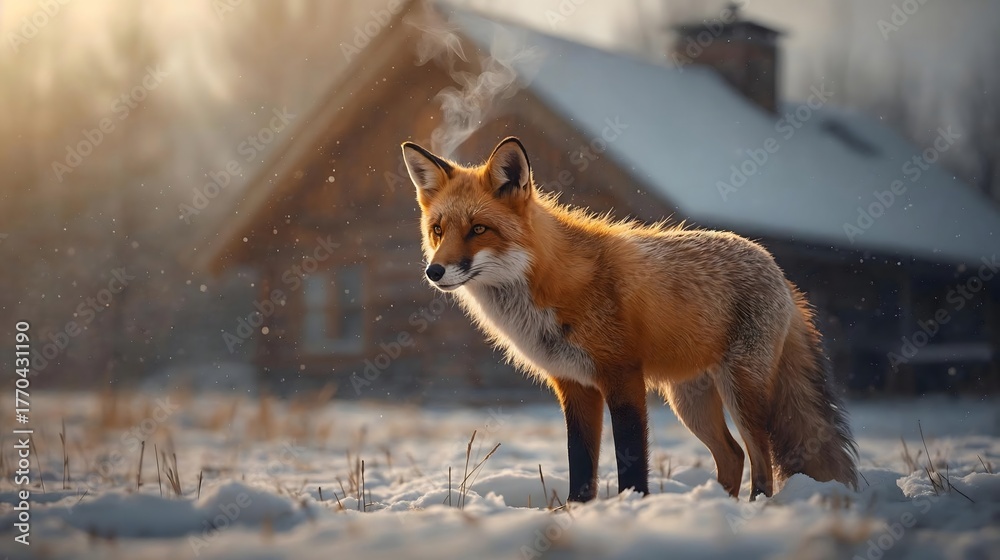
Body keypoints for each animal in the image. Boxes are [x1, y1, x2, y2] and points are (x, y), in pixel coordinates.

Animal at [400, 136, 858, 502]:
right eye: (438, 229)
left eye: (478, 229)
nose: (434, 272)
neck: (547, 286)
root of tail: (776, 267)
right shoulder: (574, 386)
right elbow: (581, 468)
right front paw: (579, 513)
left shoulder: (623, 377)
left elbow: (631, 464)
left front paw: (631, 508)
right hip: (689, 401)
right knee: (733, 456)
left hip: (740, 391)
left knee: (761, 459)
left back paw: (753, 509)